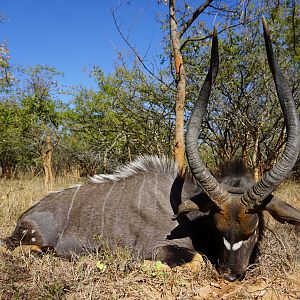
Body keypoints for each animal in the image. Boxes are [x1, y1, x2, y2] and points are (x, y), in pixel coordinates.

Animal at [1, 18, 298, 282]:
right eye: (218, 227)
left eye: (254, 228)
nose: (231, 274)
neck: (192, 217)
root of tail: (26, 216)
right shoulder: (159, 248)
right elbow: (196, 260)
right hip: (32, 242)